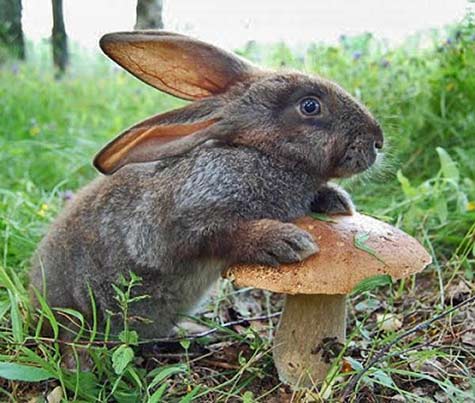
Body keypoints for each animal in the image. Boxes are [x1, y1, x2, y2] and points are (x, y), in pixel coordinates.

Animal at [29, 30, 384, 354]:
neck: (263, 155)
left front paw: (337, 201)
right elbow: (222, 235)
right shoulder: (181, 222)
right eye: (310, 106)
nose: (378, 141)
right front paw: (287, 242)